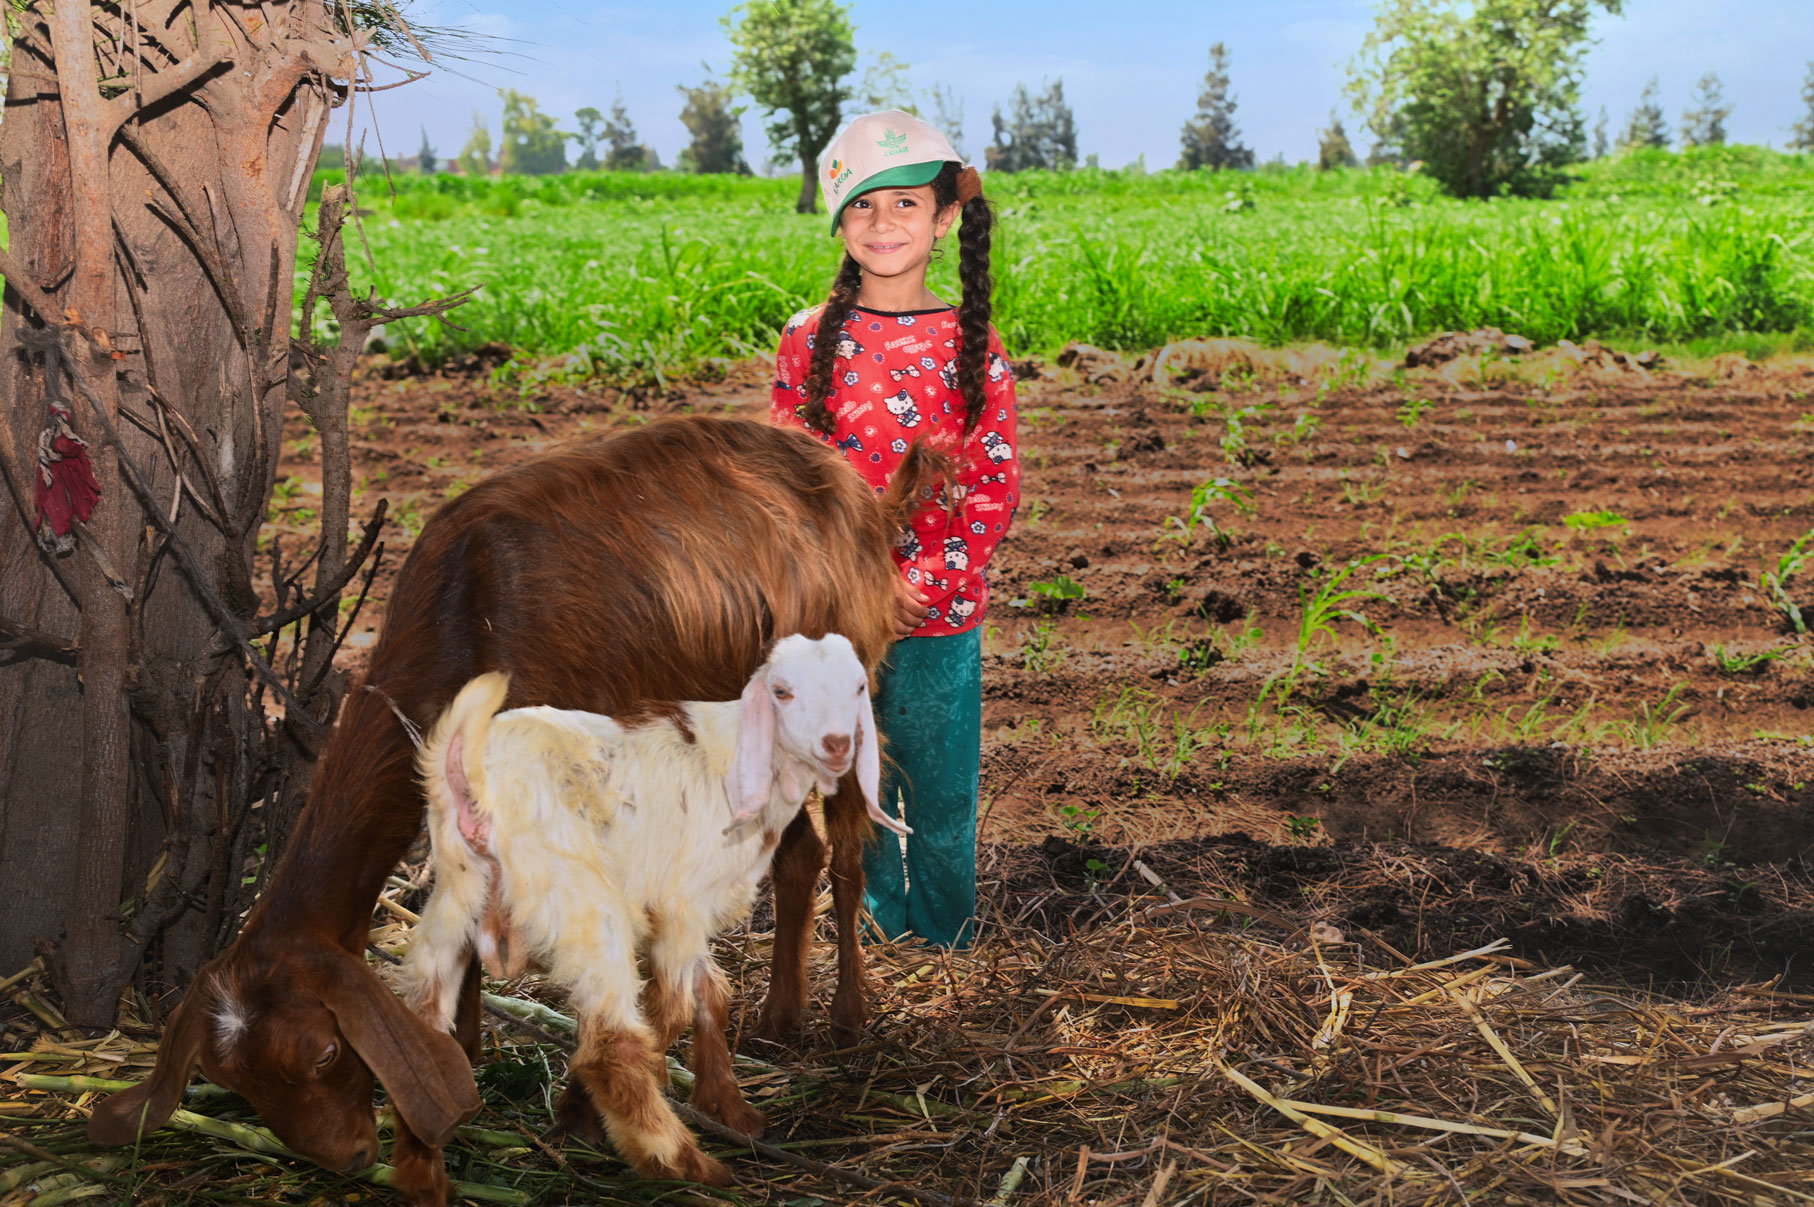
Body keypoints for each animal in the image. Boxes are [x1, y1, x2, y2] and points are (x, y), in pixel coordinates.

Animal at [401, 634, 906, 1185]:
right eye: (782, 692)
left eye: (858, 688)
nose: (837, 744)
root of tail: (473, 778)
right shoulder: (682, 904)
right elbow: (671, 1010)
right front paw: (585, 1114)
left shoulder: (689, 913)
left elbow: (711, 993)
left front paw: (729, 1109)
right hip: (583, 904)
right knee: (611, 1043)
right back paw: (684, 1162)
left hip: (457, 893)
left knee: (423, 1015)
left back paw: (419, 1167)